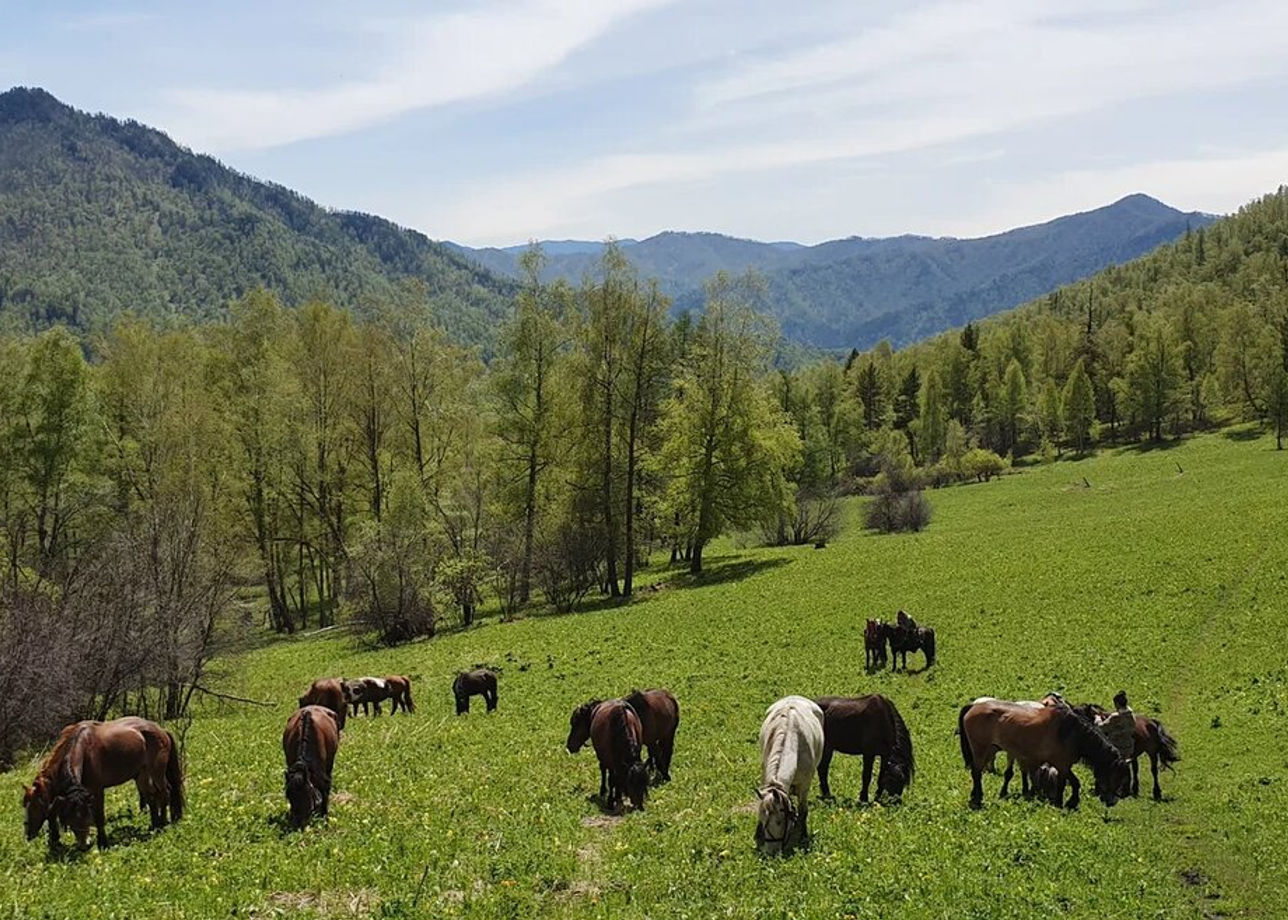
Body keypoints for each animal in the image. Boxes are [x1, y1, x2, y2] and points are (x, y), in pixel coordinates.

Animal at [21, 711, 182, 850]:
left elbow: (99, 817)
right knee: (151, 797)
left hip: (156, 772)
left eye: (34, 806)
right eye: (25, 806)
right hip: (142, 775)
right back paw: (155, 825)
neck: (83, 746)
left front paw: (103, 843)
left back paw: (165, 822)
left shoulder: (97, 791)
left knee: (165, 793)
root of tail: (161, 731)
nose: (28, 833)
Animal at [752, 695, 824, 850]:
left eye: (779, 822)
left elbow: (803, 810)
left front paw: (803, 835)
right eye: (761, 818)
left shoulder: (805, 786)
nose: (770, 851)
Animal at [958, 700, 1128, 804]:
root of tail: (972, 706)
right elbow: (1066, 784)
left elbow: (1073, 782)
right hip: (980, 749)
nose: (1112, 802)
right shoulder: (1062, 765)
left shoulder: (1063, 765)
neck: (1071, 732)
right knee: (976, 773)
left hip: (991, 749)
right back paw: (978, 797)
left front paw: (1069, 802)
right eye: (1117, 775)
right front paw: (1063, 802)